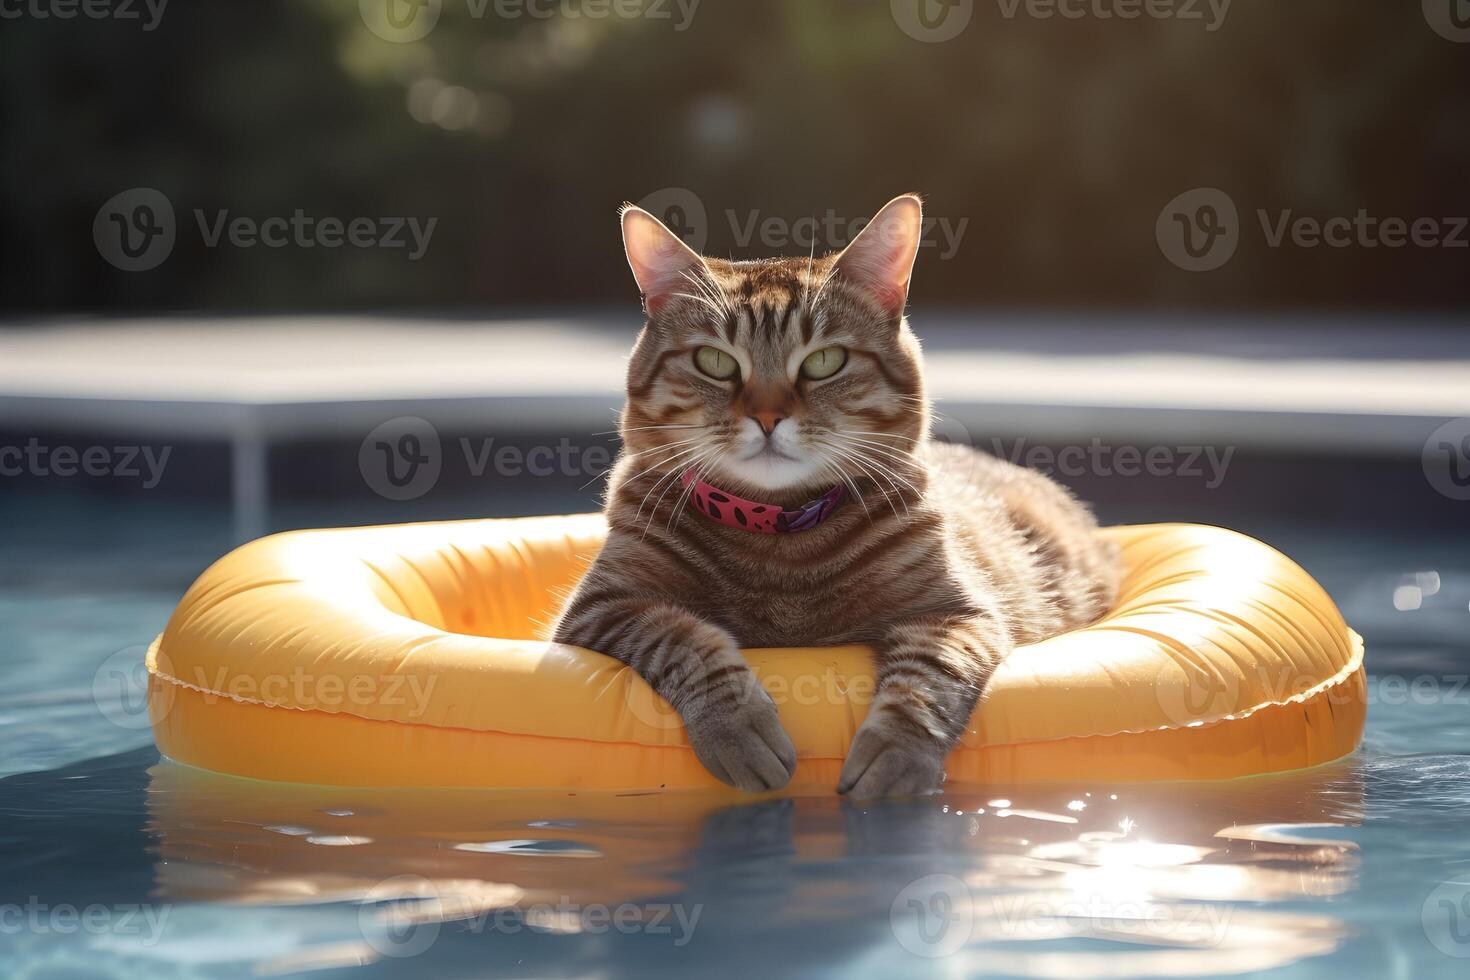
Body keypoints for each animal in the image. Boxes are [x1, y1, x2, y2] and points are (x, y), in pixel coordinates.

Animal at [555, 195, 1117, 799]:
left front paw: (894, 760)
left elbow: (928, 680)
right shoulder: (602, 608)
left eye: (824, 362)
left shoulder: (958, 613)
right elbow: (682, 639)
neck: (777, 532)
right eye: (715, 361)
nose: (768, 416)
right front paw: (740, 729)